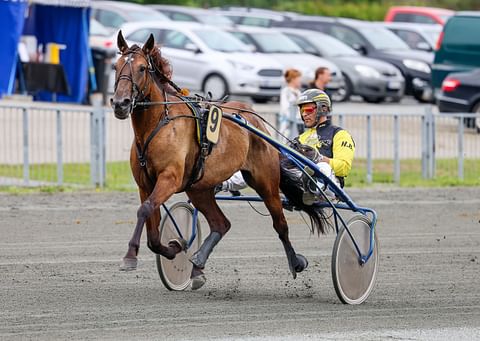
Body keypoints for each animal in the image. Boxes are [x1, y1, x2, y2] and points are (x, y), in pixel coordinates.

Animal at [110, 31, 328, 288]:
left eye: (142, 68)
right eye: (116, 66)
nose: (120, 103)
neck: (158, 125)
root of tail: (255, 119)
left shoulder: (169, 179)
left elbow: (144, 210)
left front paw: (130, 256)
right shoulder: (145, 185)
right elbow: (151, 229)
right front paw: (175, 247)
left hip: (265, 182)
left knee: (280, 225)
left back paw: (295, 262)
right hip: (199, 188)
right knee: (221, 224)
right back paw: (197, 267)